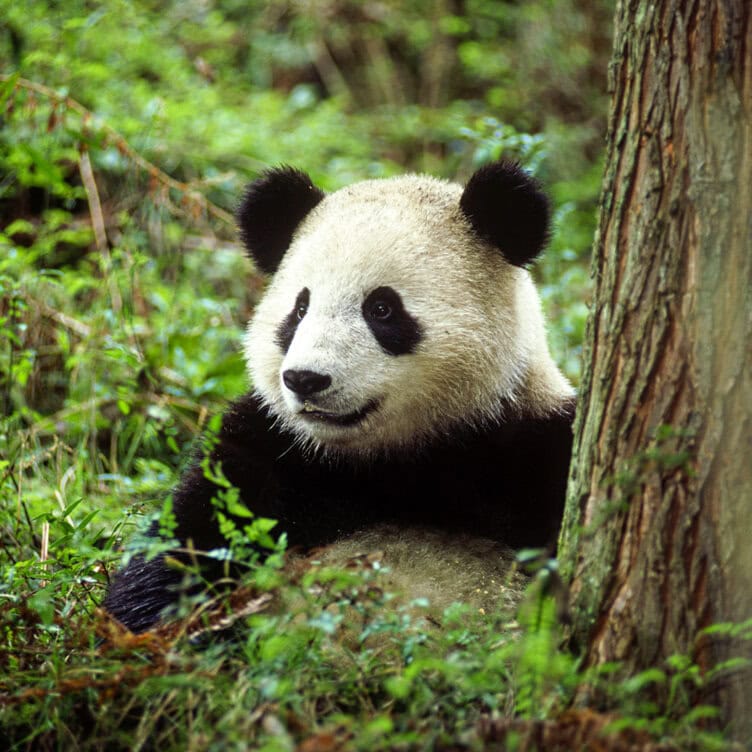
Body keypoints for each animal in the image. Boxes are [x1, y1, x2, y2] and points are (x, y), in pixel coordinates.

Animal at [104, 161, 576, 634]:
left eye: (382, 308)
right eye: (300, 309)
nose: (305, 379)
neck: (388, 459)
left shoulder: (529, 444)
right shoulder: (270, 448)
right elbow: (185, 540)